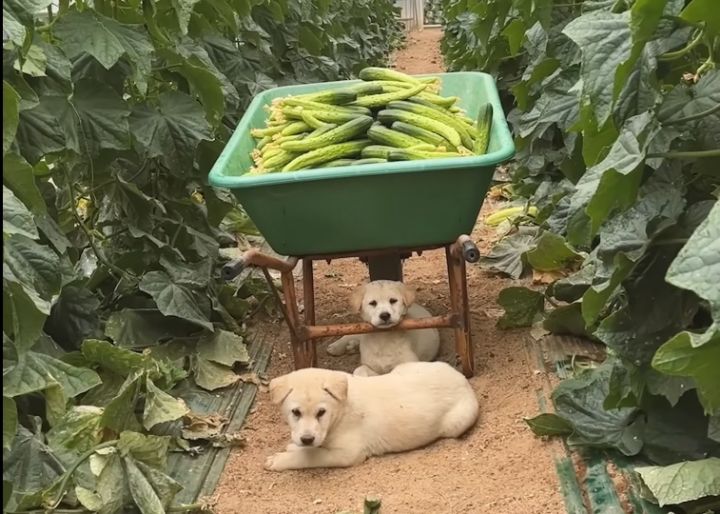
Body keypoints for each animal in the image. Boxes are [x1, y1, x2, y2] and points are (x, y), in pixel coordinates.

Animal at [264, 358, 478, 470]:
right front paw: (295, 447)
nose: (307, 439)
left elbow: (312, 456)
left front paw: (279, 460)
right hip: (406, 366)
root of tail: (461, 378)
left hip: (458, 422)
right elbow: (311, 449)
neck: (340, 411)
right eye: (295, 412)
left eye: (321, 412)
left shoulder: (349, 454)